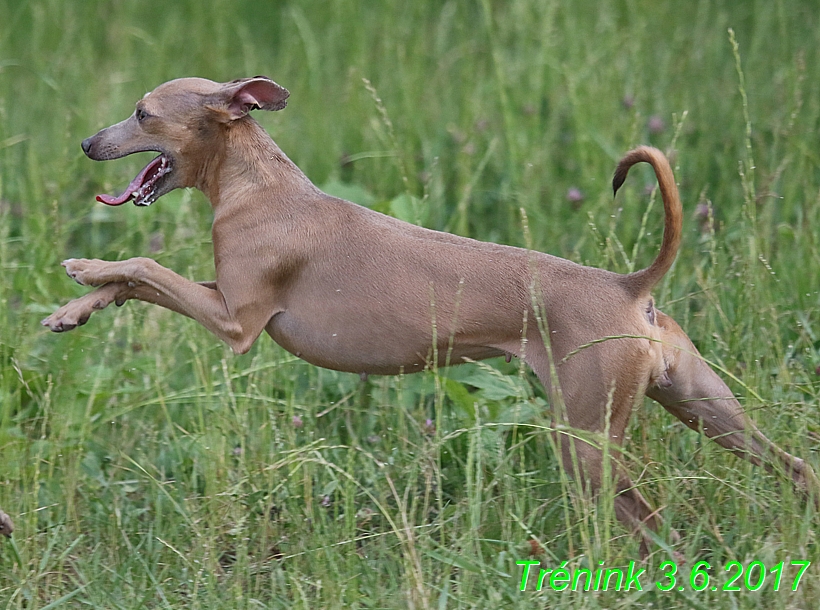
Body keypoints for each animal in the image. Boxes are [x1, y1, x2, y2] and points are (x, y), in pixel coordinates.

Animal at [40, 76, 820, 552]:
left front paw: (84, 269)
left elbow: (144, 267)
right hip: (706, 408)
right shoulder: (222, 299)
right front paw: (76, 310)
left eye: (143, 113)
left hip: (587, 441)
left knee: (657, 527)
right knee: (795, 470)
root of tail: (634, 287)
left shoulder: (236, 322)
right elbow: (136, 282)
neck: (258, 185)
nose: (84, 143)